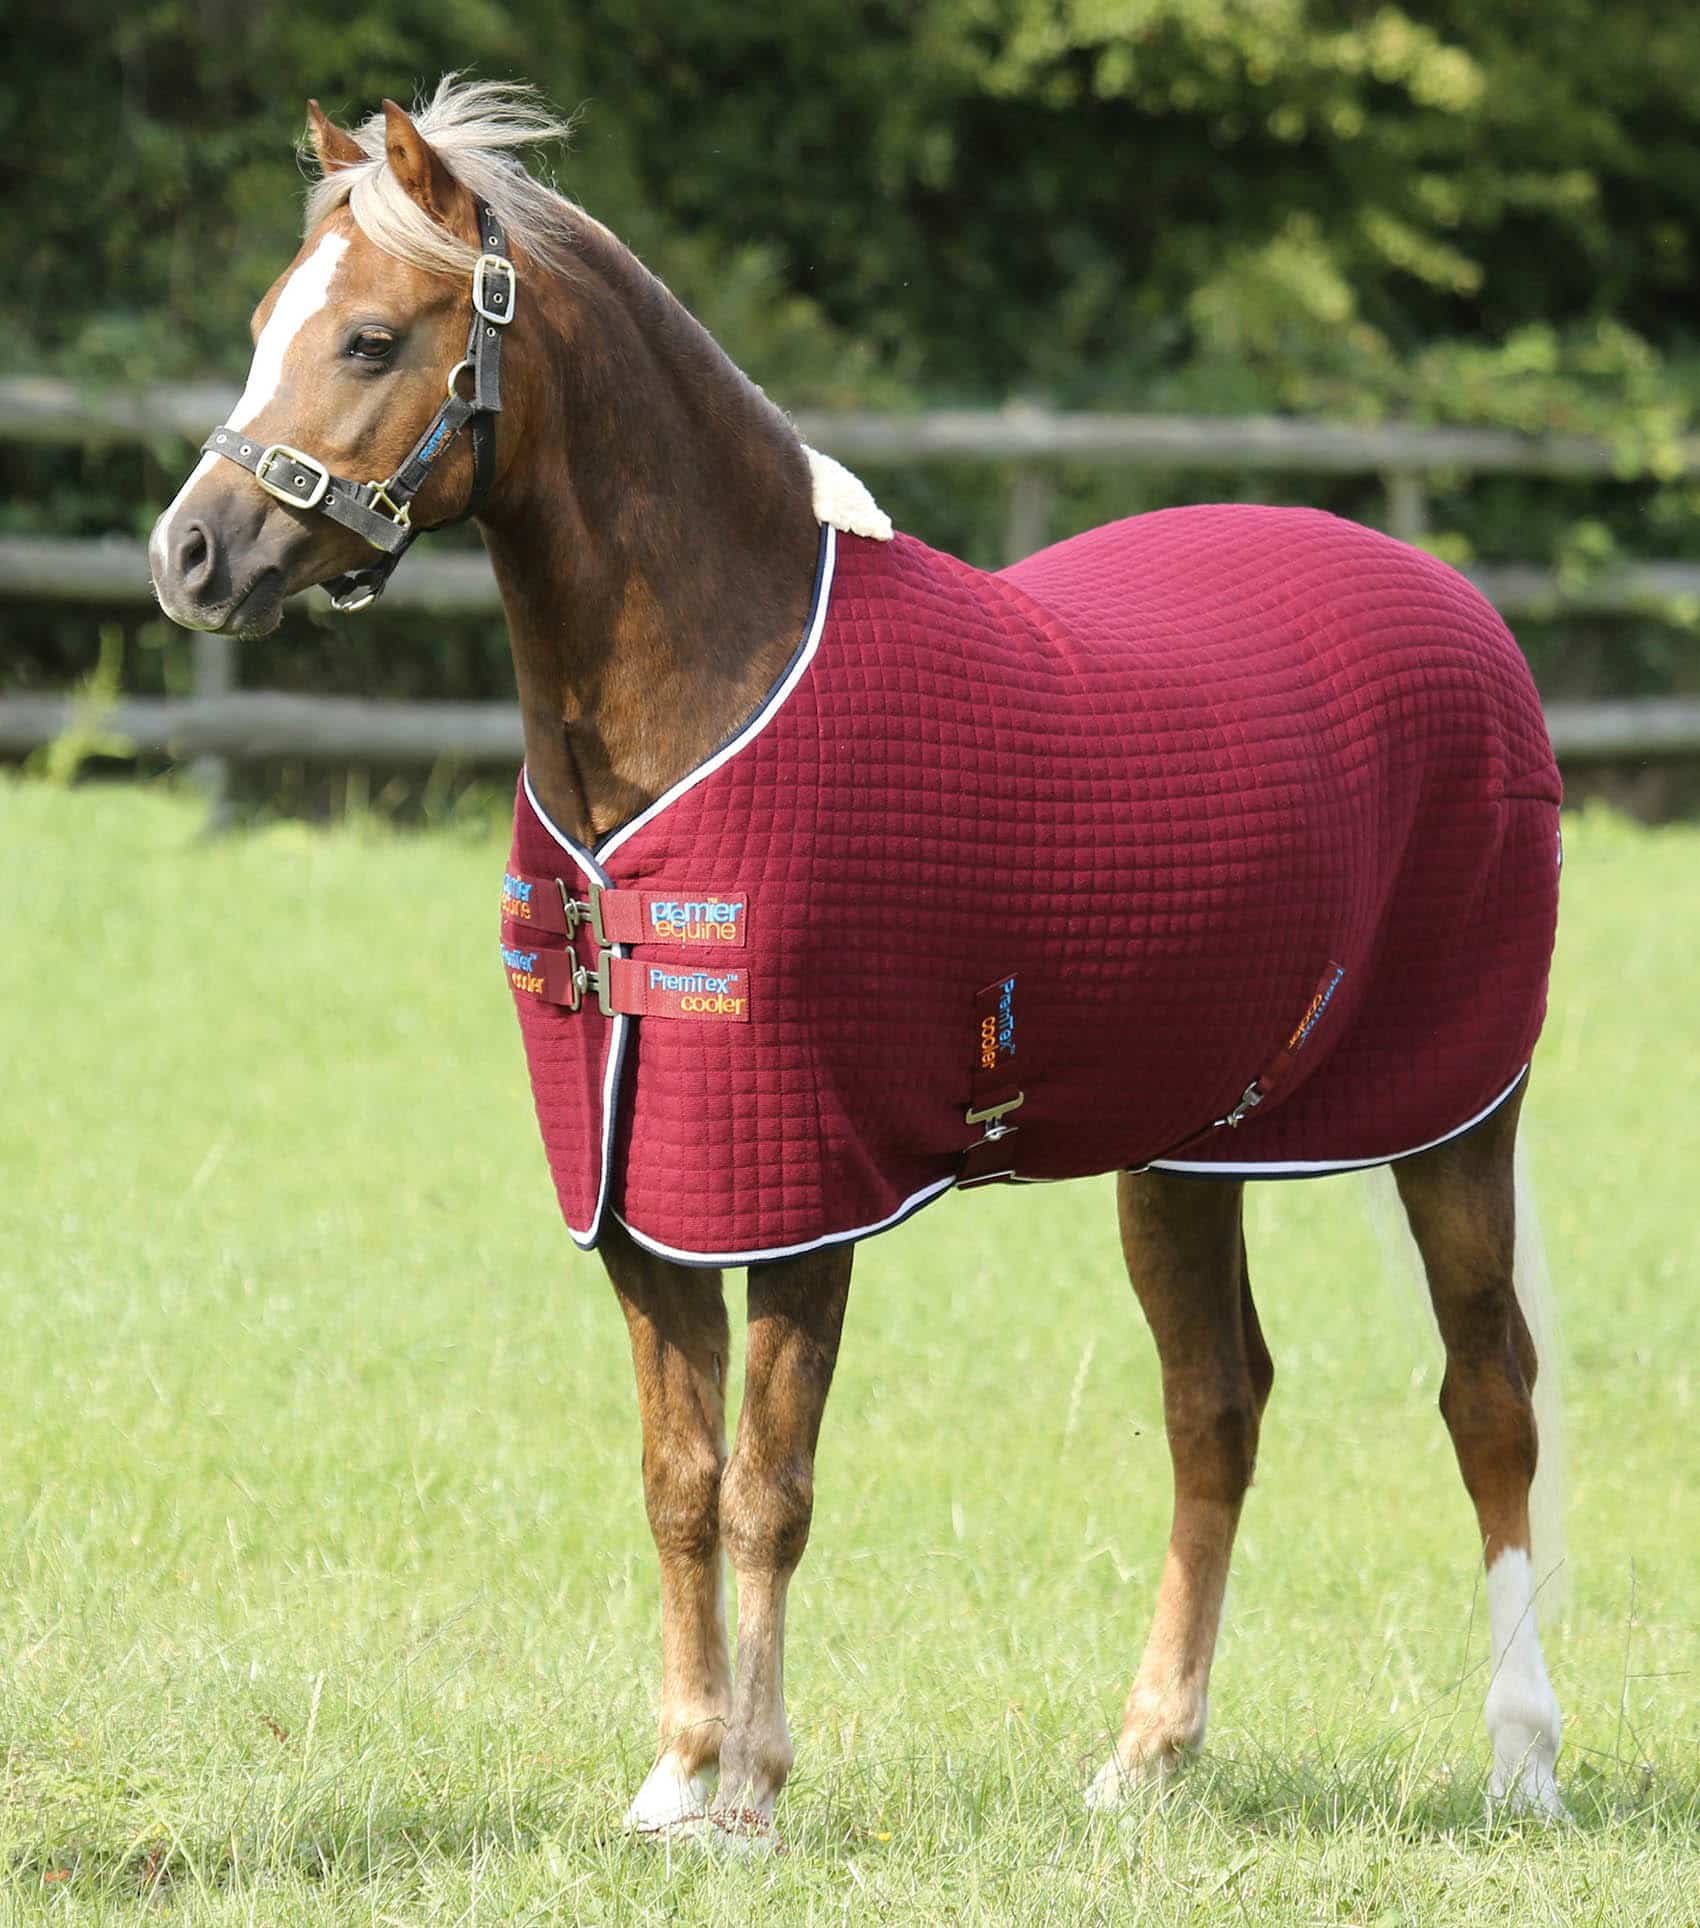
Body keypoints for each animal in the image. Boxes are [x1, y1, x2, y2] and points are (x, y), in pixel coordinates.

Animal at [148, 78, 1568, 1837]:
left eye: (365, 339)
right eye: (263, 324)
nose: (190, 558)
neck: (714, 685)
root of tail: (1460, 606)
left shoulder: (799, 1180)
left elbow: (770, 1488)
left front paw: (751, 1792)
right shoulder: (641, 1178)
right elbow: (678, 1481)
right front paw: (676, 1774)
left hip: (1456, 1120)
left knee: (1487, 1394)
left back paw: (1522, 1759)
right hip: (1186, 1151)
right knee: (1216, 1408)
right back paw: (1145, 1757)